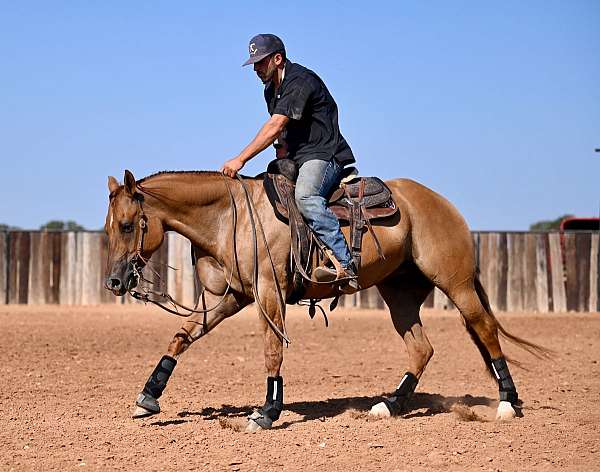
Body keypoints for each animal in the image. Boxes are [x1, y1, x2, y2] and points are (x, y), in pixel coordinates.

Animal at [104, 169, 548, 432]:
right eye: (109, 228)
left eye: (127, 225)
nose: (114, 281)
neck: (233, 217)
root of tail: (442, 203)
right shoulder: (229, 299)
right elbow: (182, 336)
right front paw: (147, 397)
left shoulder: (269, 293)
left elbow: (272, 349)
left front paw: (267, 412)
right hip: (400, 294)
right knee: (422, 348)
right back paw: (390, 404)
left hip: (456, 283)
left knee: (484, 328)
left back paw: (508, 403)